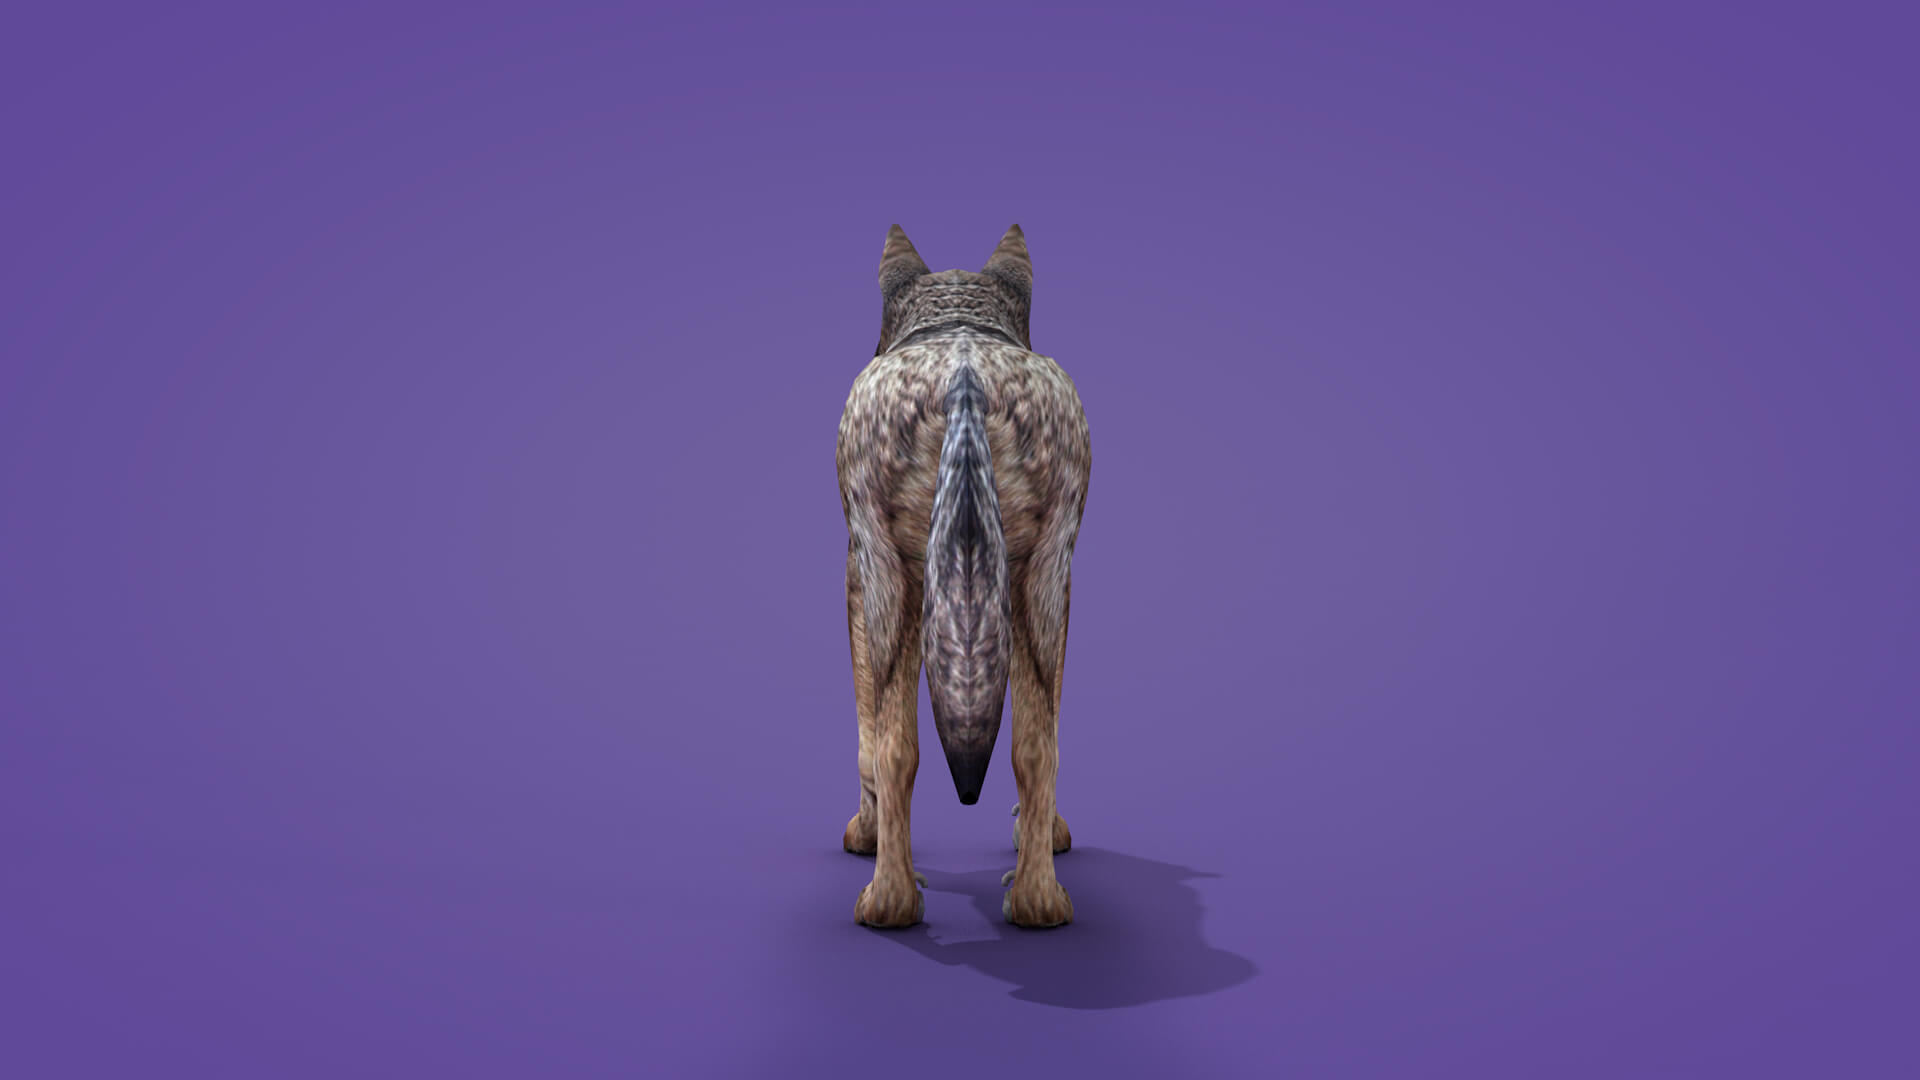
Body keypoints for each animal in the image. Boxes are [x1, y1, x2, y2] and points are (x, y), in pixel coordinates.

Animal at [837, 224, 1090, 929]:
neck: (959, 322)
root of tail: (964, 380)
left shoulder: (860, 571)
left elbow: (869, 732)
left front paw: (865, 833)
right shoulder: (1042, 580)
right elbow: (1041, 733)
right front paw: (1047, 834)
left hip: (900, 587)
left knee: (899, 748)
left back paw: (887, 905)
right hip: (1039, 584)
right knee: (1035, 745)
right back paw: (1039, 906)